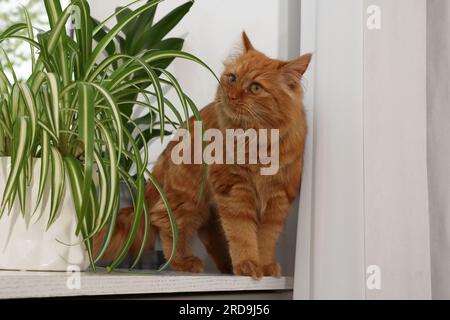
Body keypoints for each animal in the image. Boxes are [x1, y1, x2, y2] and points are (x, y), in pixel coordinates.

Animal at [95, 31, 312, 278]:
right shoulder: (234, 190)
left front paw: (264, 266)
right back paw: (184, 261)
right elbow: (242, 234)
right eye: (232, 78)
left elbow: (265, 239)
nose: (232, 96)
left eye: (256, 88)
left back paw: (226, 266)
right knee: (166, 224)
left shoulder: (278, 197)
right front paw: (248, 264)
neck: (256, 143)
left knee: (209, 233)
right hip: (187, 198)